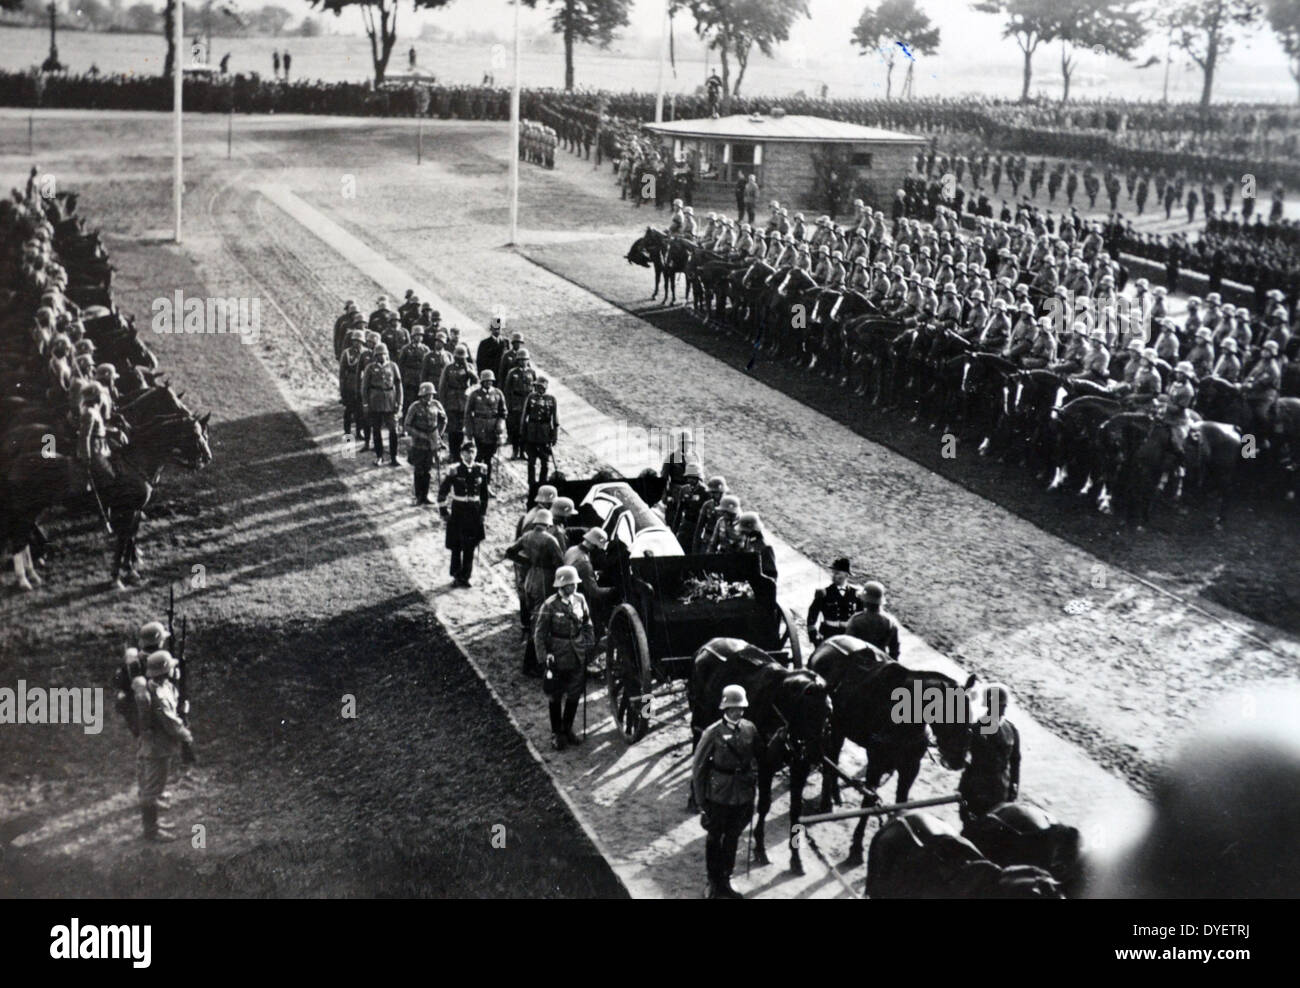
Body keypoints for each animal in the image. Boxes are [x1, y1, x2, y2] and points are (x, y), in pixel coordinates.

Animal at [691, 639, 832, 878]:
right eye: (808, 713)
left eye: (828, 713)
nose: (815, 755)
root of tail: (707, 645)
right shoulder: (766, 765)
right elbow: (764, 805)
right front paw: (759, 848)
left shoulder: (799, 767)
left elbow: (796, 811)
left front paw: (796, 859)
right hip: (698, 718)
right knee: (697, 749)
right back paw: (694, 797)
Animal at [811, 639, 977, 863]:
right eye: (949, 714)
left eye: (970, 716)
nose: (958, 760)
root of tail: (826, 642)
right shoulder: (876, 763)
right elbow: (868, 801)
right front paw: (857, 845)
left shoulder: (910, 768)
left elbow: (901, 802)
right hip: (835, 727)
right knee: (831, 758)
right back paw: (827, 800)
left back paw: (835, 794)